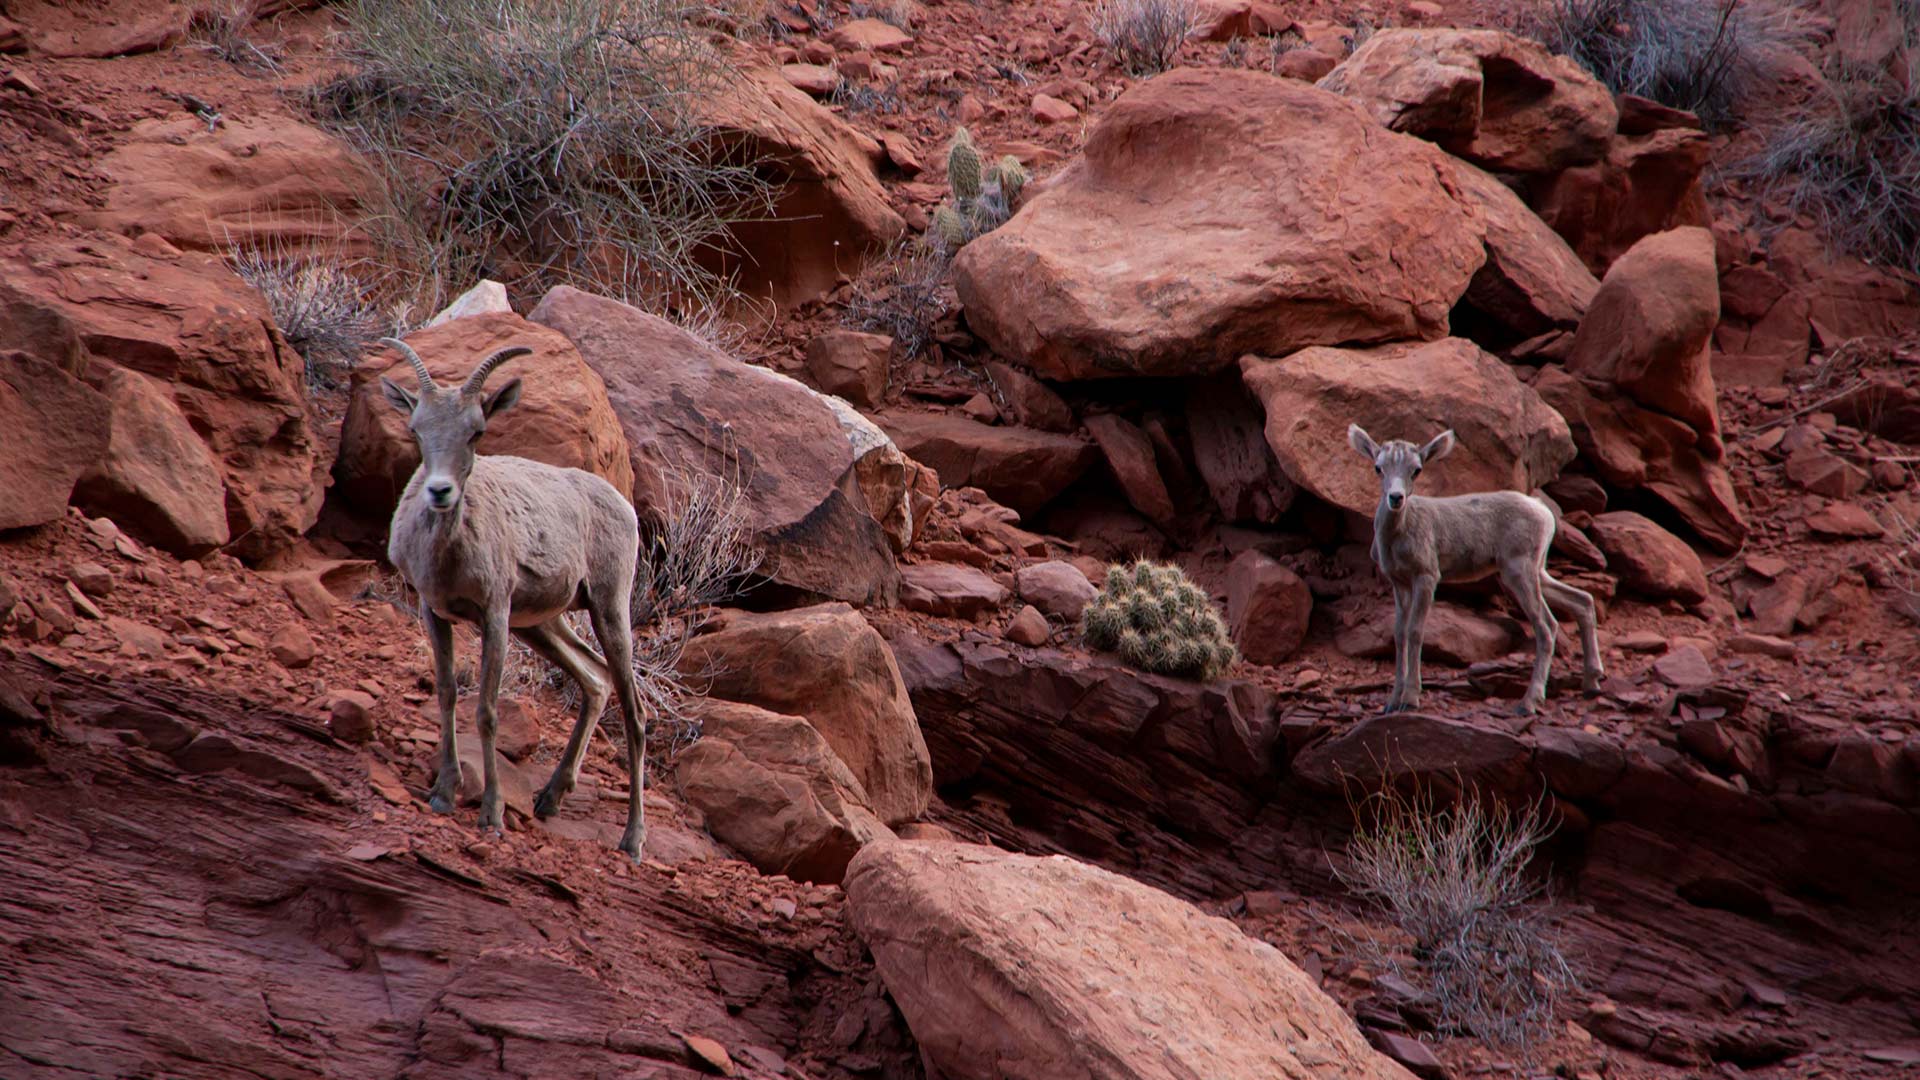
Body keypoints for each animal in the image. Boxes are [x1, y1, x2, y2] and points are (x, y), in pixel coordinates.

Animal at [382, 336, 652, 857]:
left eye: (476, 432)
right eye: (417, 429)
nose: (440, 492)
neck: (449, 553)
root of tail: (622, 505)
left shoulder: (495, 616)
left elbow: (487, 711)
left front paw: (491, 814)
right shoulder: (433, 610)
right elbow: (447, 693)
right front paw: (443, 793)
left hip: (608, 609)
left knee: (635, 712)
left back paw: (632, 840)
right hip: (542, 625)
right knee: (595, 679)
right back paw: (550, 798)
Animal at [1351, 422, 1605, 714]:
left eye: (1416, 470)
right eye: (1378, 467)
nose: (1396, 498)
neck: (1399, 534)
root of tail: (1544, 513)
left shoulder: (1427, 577)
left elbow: (1415, 632)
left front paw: (1410, 699)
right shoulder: (1399, 583)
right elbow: (1400, 634)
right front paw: (1392, 702)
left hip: (1519, 571)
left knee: (1547, 626)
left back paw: (1528, 702)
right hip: (1537, 571)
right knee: (1582, 601)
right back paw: (1591, 683)